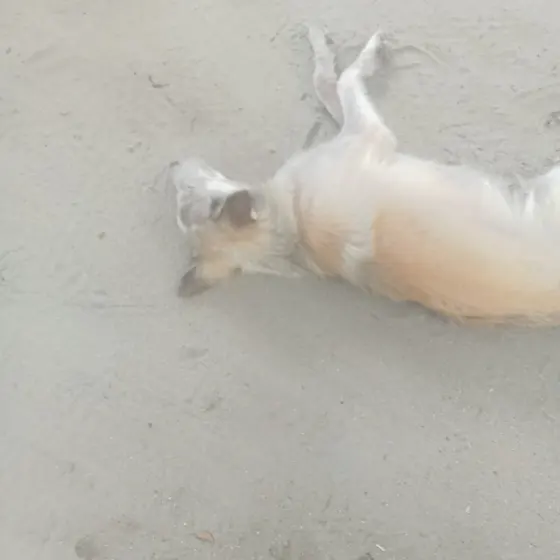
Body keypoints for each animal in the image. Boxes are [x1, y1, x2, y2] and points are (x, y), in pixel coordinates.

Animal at [170, 25, 560, 325]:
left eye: (185, 197)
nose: (172, 166)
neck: (292, 226)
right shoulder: (370, 134)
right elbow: (344, 80)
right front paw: (361, 53)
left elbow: (330, 86)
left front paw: (325, 50)